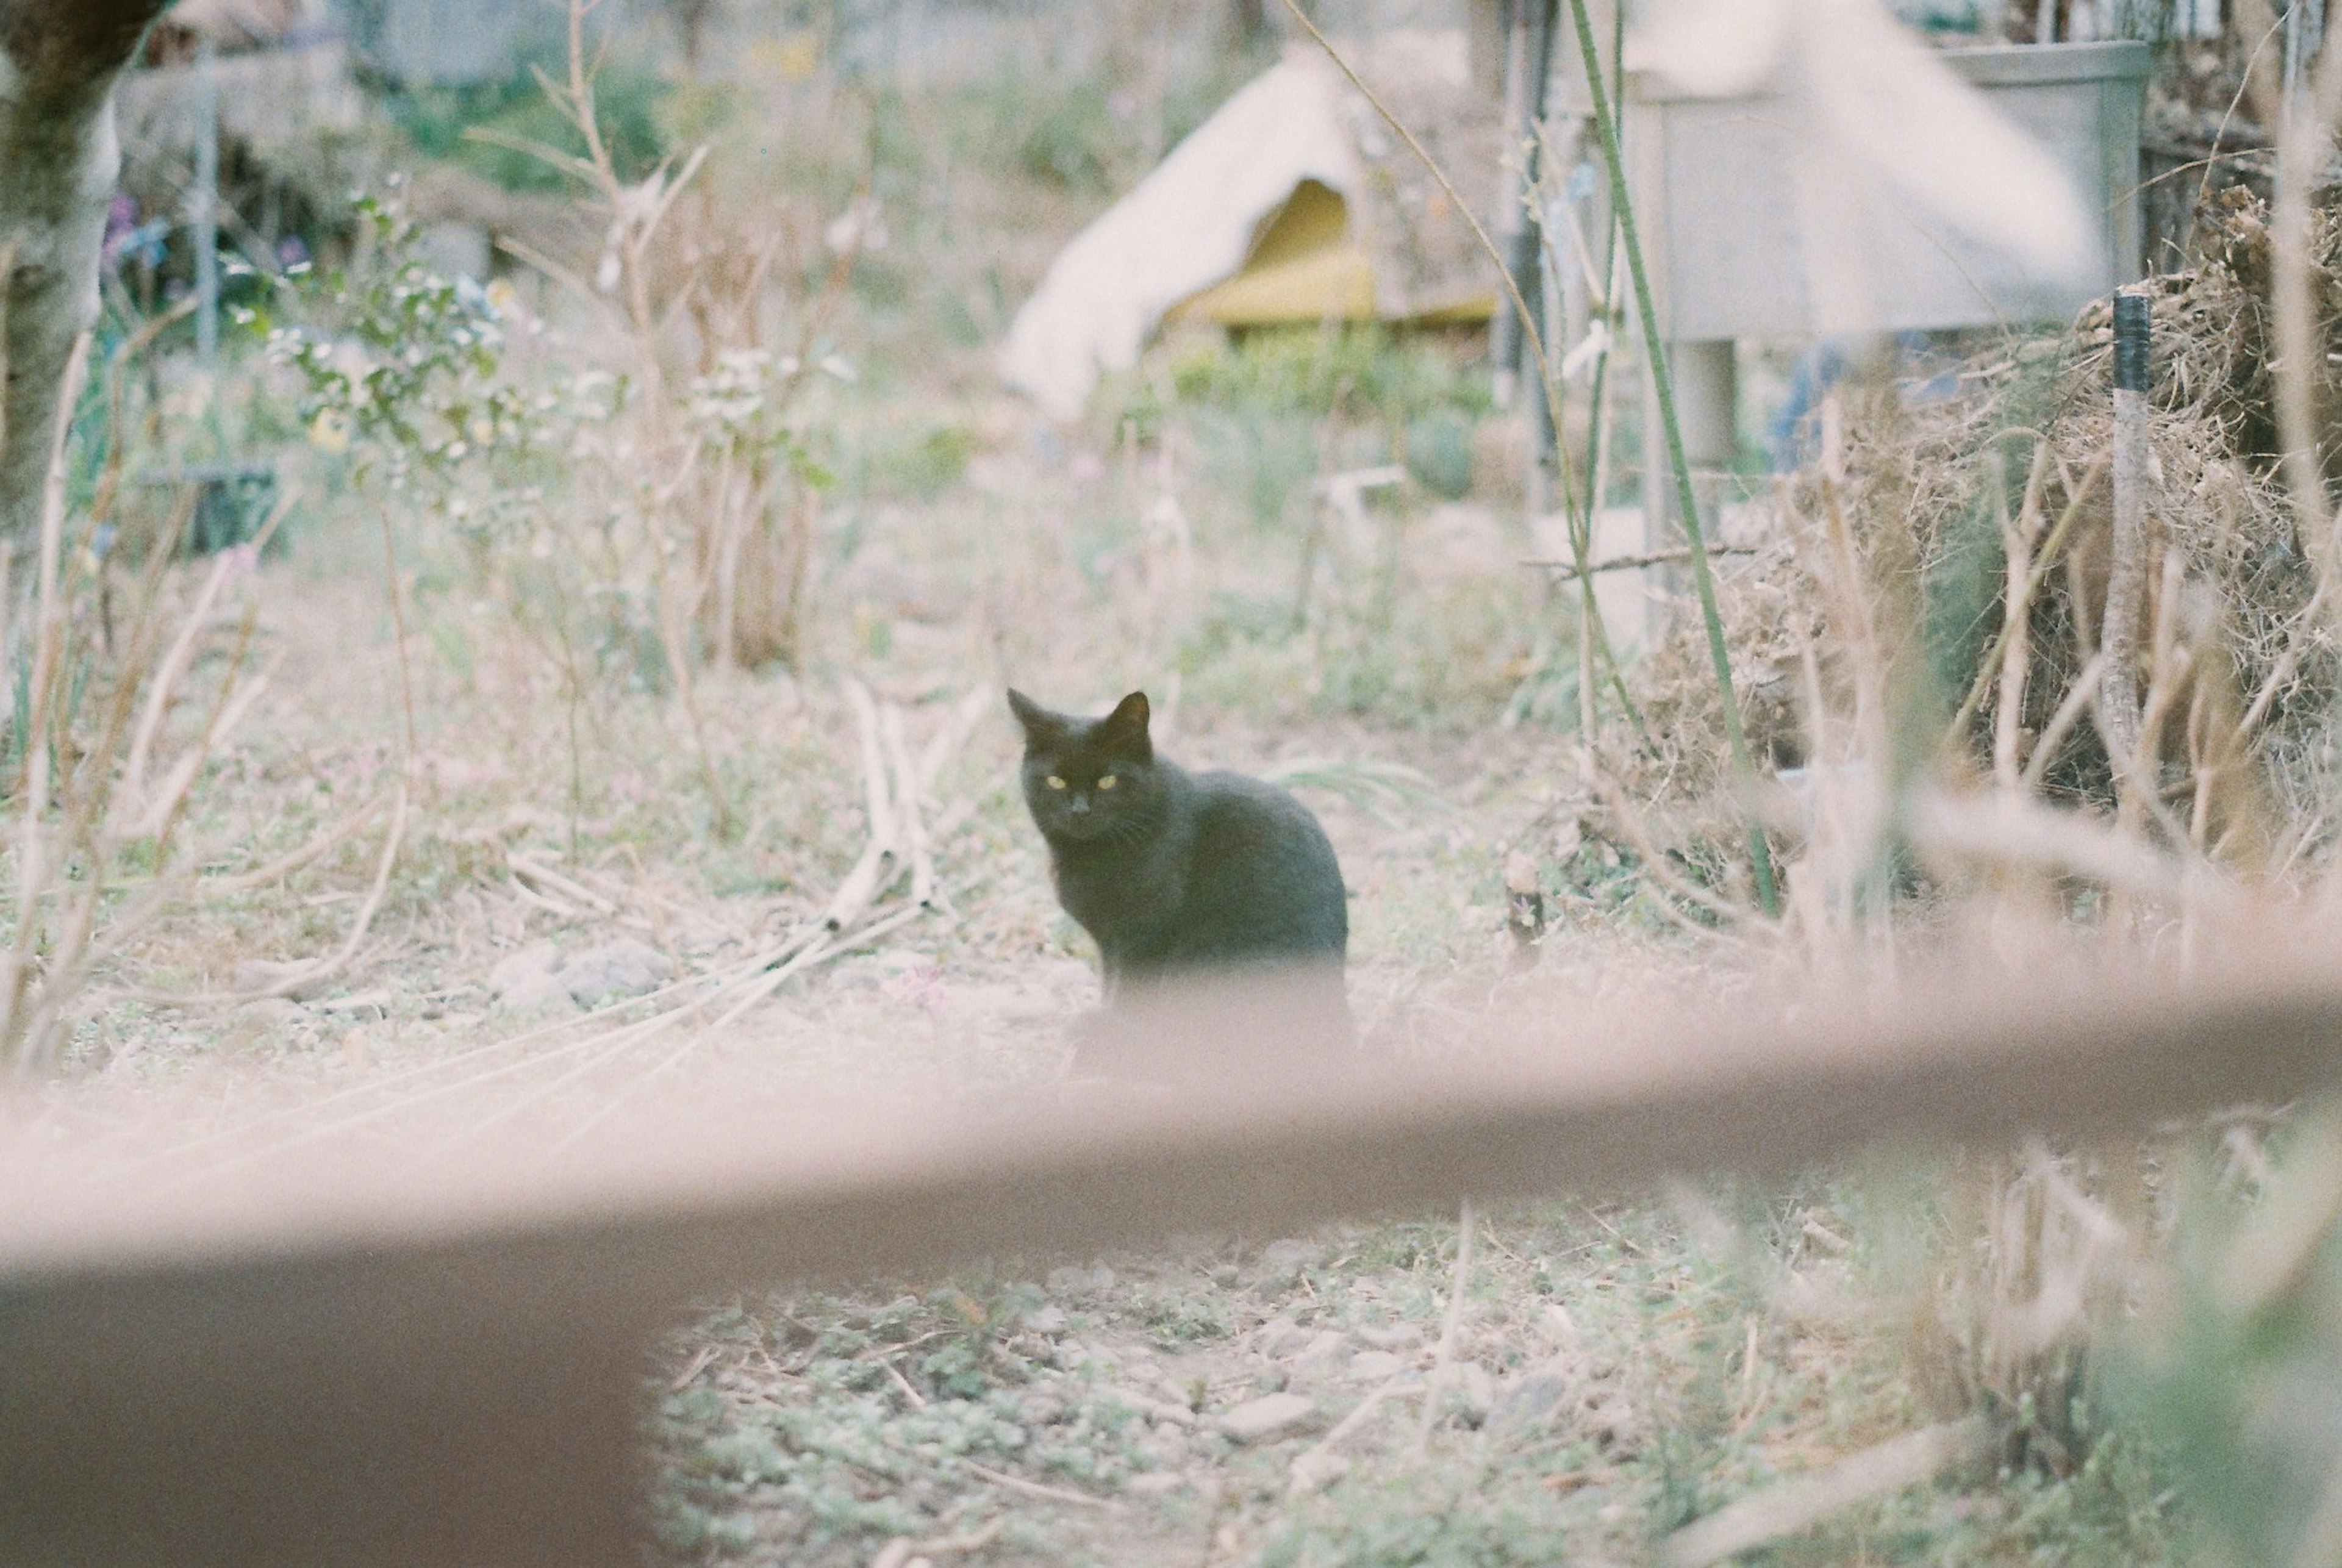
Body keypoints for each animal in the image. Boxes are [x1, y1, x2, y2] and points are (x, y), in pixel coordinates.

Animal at [1007, 692, 1358, 1081]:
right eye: (1055, 782)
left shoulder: (1144, 938)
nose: (1080, 811)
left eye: (1107, 781)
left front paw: (1114, 1045)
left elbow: (1128, 997)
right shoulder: (1110, 945)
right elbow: (1109, 988)